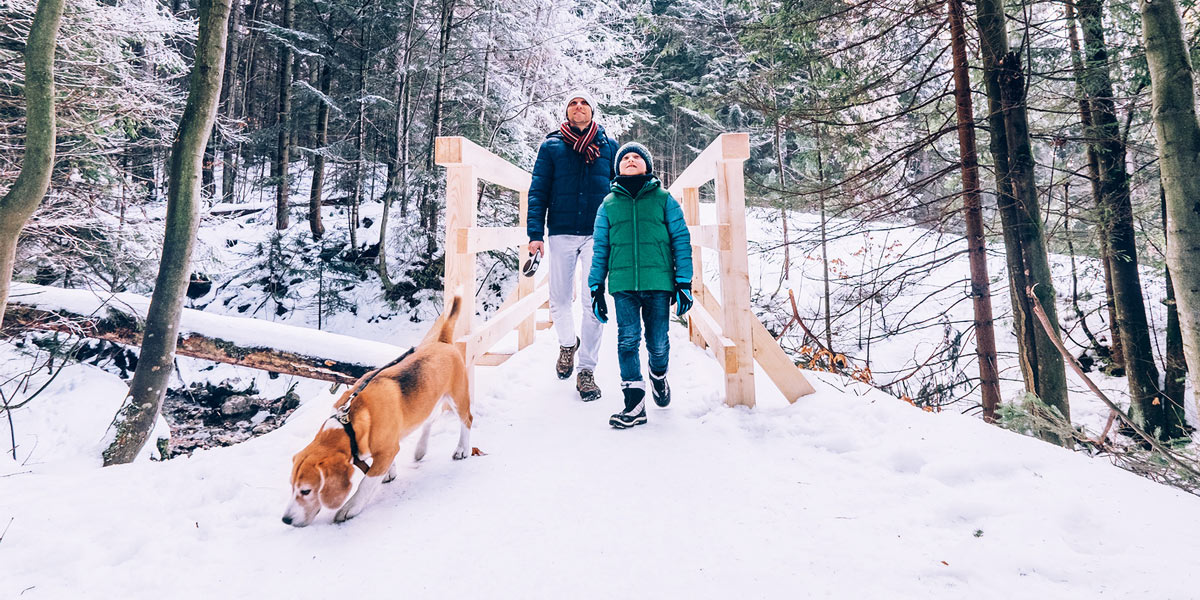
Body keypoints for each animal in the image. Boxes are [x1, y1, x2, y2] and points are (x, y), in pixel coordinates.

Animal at [284, 297, 472, 528]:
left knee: (467, 421)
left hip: (458, 398)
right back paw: (420, 449)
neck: (349, 424)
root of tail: (442, 342)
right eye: (291, 486)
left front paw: (350, 508)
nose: (285, 519)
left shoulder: (388, 450)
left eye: (306, 491)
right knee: (429, 421)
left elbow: (366, 482)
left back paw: (462, 449)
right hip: (431, 401)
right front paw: (389, 472)